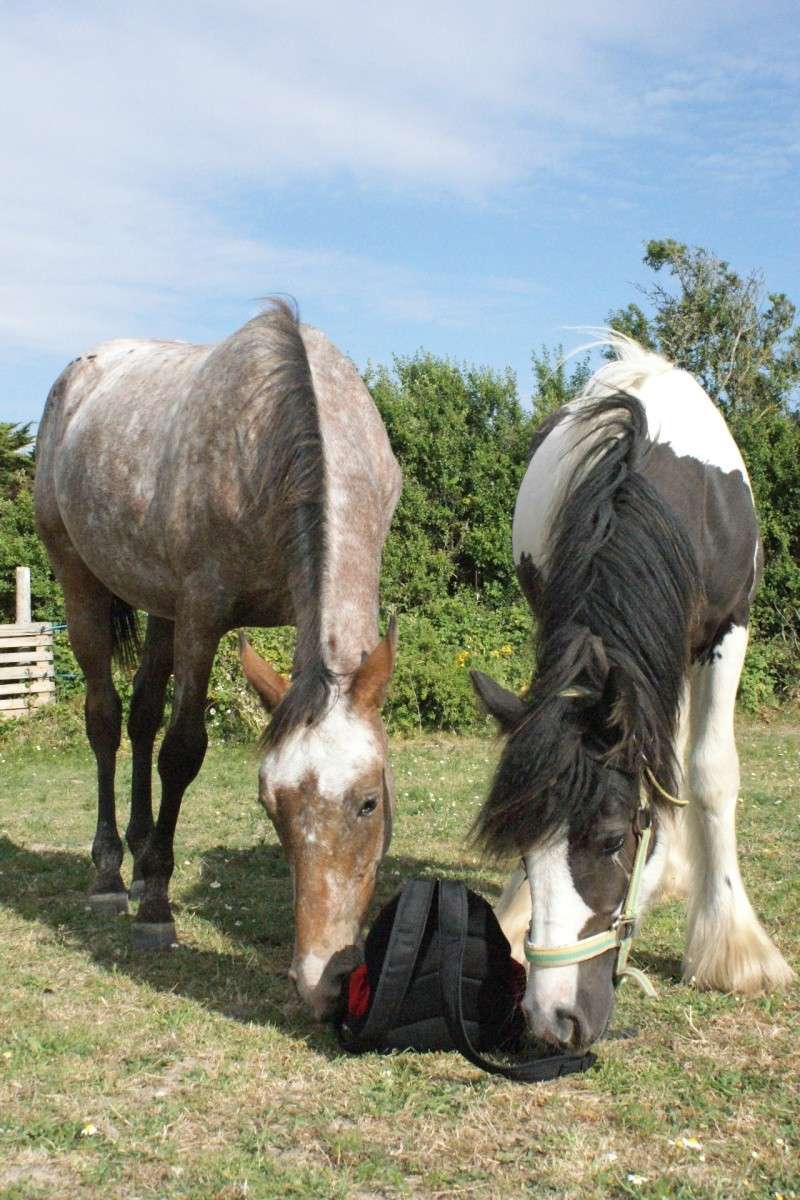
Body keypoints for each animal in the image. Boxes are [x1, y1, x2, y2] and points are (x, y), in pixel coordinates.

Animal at [35, 297, 400, 1012]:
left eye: (369, 801)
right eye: (269, 804)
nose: (323, 980)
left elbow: (162, 732)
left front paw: (156, 875)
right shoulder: (203, 616)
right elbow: (183, 750)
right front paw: (156, 909)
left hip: (159, 606)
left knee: (142, 714)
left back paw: (143, 851)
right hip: (80, 581)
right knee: (106, 718)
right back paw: (113, 876)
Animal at [472, 331, 791, 1051]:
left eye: (613, 840)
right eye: (522, 851)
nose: (552, 1018)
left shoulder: (729, 629)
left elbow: (710, 773)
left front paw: (732, 949)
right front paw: (515, 909)